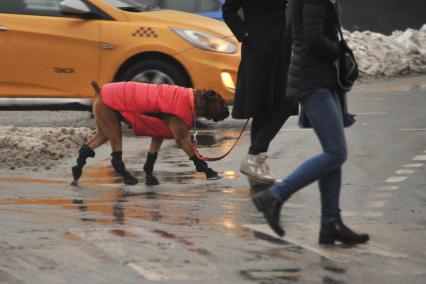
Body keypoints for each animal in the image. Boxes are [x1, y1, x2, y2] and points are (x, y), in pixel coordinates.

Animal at [70, 81, 230, 186]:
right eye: (222, 103)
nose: (228, 112)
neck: (192, 100)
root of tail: (99, 91)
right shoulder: (182, 139)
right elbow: (197, 158)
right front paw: (209, 172)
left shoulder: (158, 136)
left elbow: (151, 158)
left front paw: (149, 178)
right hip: (114, 131)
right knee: (116, 160)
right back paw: (128, 178)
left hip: (105, 131)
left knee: (86, 148)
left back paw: (77, 171)